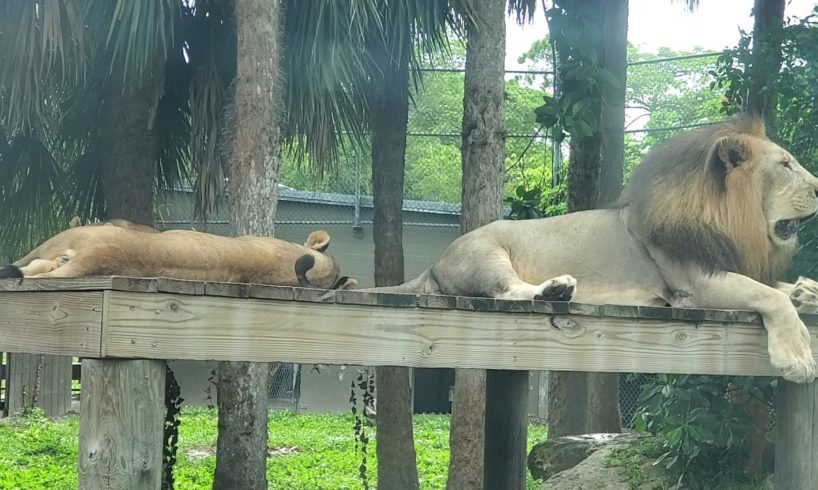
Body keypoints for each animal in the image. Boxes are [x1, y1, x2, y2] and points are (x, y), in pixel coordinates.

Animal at [374, 117, 816, 384]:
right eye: (786, 165)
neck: (736, 223)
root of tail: (435, 263)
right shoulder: (695, 283)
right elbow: (771, 296)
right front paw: (797, 357)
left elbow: (778, 286)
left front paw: (807, 290)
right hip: (487, 250)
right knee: (509, 291)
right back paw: (556, 288)